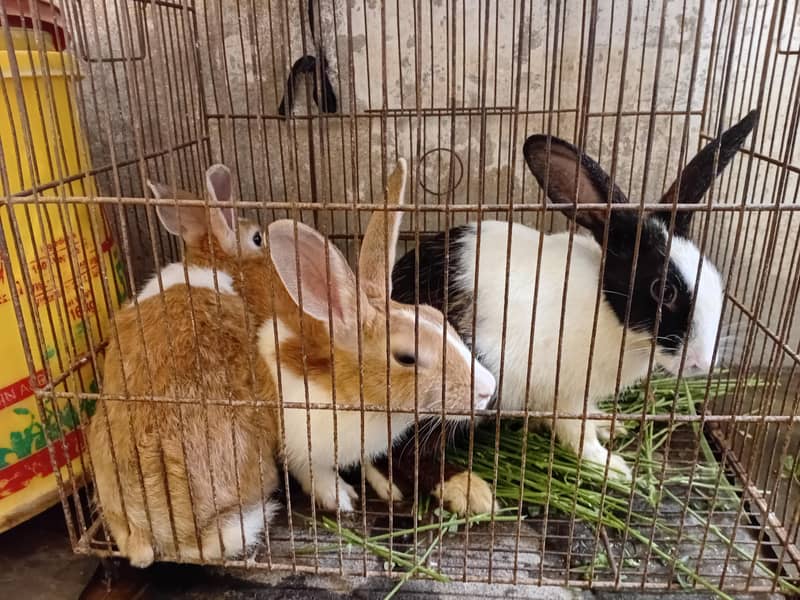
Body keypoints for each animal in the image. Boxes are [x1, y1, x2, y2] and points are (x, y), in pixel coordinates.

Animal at [257, 158, 497, 513]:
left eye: (437, 316)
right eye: (406, 357)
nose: (488, 388)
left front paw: (382, 485)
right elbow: (310, 468)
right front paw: (339, 497)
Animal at [390, 110, 758, 481]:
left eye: (712, 273)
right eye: (663, 290)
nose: (703, 362)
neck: (610, 314)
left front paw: (609, 426)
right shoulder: (565, 396)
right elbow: (578, 436)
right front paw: (612, 467)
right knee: (403, 455)